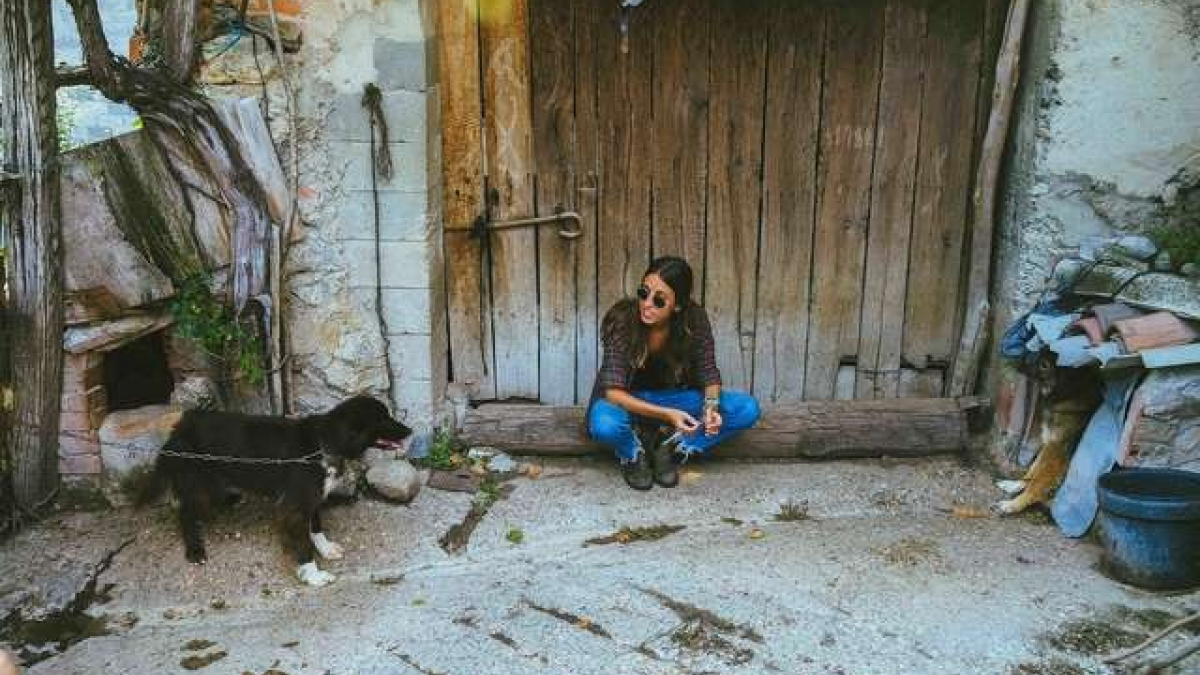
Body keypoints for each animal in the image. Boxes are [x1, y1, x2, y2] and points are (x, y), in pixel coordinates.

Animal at [139, 393, 412, 583]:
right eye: (383, 418)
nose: (410, 430)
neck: (324, 443)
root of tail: (180, 425)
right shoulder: (295, 505)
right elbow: (303, 543)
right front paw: (313, 575)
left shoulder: (311, 497)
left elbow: (316, 526)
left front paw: (325, 548)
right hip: (203, 485)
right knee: (184, 512)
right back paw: (195, 550)